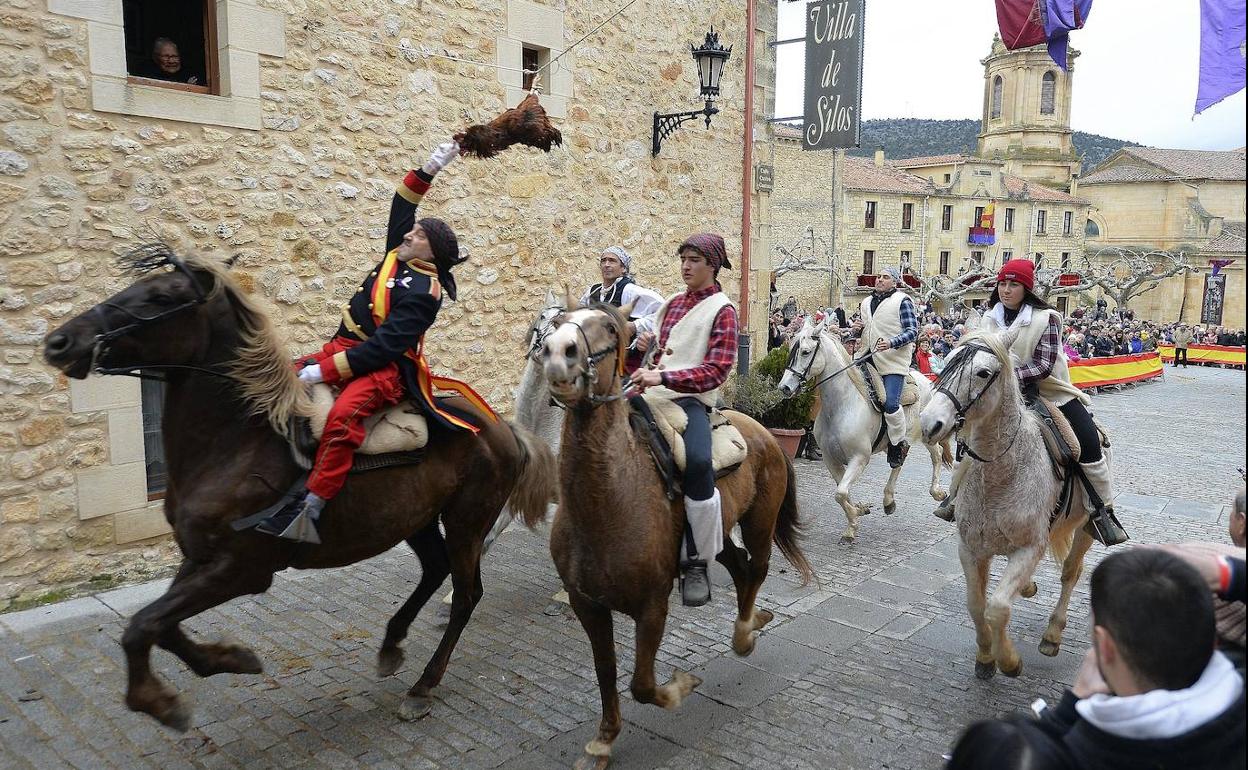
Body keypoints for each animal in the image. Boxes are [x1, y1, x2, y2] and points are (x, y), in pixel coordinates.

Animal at [40, 245, 556, 728]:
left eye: (161, 297)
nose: (60, 342)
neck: (238, 441)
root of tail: (502, 428)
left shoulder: (242, 569)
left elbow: (143, 625)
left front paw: (160, 700)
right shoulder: (201, 557)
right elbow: (156, 625)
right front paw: (229, 659)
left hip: (467, 521)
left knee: (466, 594)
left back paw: (422, 686)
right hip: (417, 519)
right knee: (435, 569)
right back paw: (392, 643)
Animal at [541, 298, 813, 768]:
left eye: (609, 329)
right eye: (558, 323)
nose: (559, 354)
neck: (608, 500)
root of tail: (763, 432)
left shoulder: (652, 605)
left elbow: (642, 685)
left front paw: (680, 688)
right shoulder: (586, 603)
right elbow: (606, 672)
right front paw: (603, 739)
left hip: (759, 524)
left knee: (757, 569)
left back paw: (745, 633)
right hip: (714, 537)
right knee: (740, 568)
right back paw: (751, 622)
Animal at [773, 315, 948, 544]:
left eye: (805, 352)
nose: (784, 388)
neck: (841, 406)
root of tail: (926, 381)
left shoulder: (859, 458)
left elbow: (840, 493)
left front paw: (853, 521)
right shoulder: (830, 458)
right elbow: (842, 492)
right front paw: (857, 512)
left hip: (927, 436)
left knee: (937, 454)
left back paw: (937, 493)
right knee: (899, 461)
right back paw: (888, 500)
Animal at [918, 326, 1093, 673]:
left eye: (983, 372)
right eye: (946, 362)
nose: (929, 423)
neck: (1001, 474)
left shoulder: (1029, 548)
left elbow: (997, 607)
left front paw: (1008, 660)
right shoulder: (970, 548)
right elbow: (975, 604)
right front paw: (986, 655)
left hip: (1085, 528)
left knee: (1070, 573)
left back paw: (1052, 635)